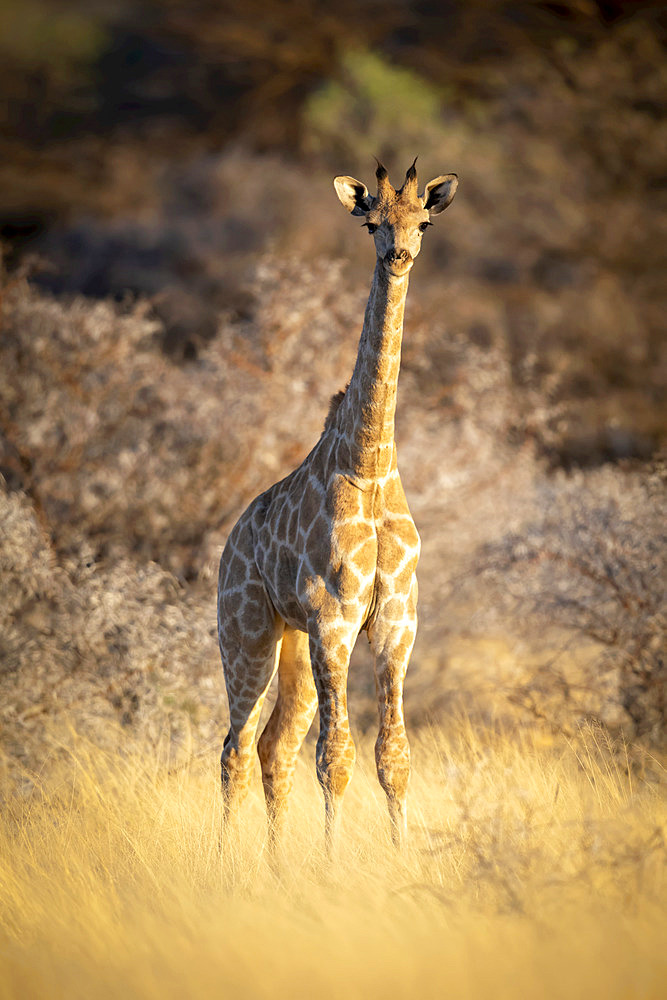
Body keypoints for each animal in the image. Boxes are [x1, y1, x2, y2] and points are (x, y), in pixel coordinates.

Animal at [219, 156, 460, 852]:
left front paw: (399, 860)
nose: (399, 255)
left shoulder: (398, 625)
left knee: (272, 747)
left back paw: (273, 866)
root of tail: (229, 543)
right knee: (236, 747)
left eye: (423, 221)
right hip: (246, 634)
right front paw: (330, 866)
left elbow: (393, 759)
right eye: (371, 223)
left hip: (291, 646)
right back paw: (225, 863)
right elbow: (336, 759)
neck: (370, 464)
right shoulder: (335, 619)